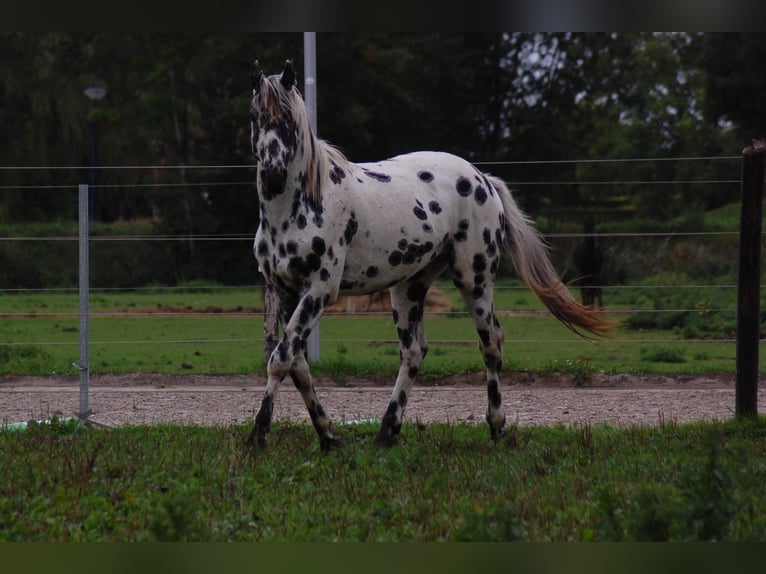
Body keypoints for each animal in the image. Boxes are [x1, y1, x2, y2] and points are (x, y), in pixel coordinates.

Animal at [246, 60, 612, 452]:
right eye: (255, 115)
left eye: (287, 118)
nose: (273, 175)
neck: (301, 206)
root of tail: (482, 178)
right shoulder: (287, 293)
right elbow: (297, 366)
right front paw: (327, 435)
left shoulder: (318, 291)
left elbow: (280, 360)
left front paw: (258, 435)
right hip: (408, 287)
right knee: (413, 352)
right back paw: (387, 431)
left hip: (474, 278)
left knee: (491, 343)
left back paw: (496, 427)